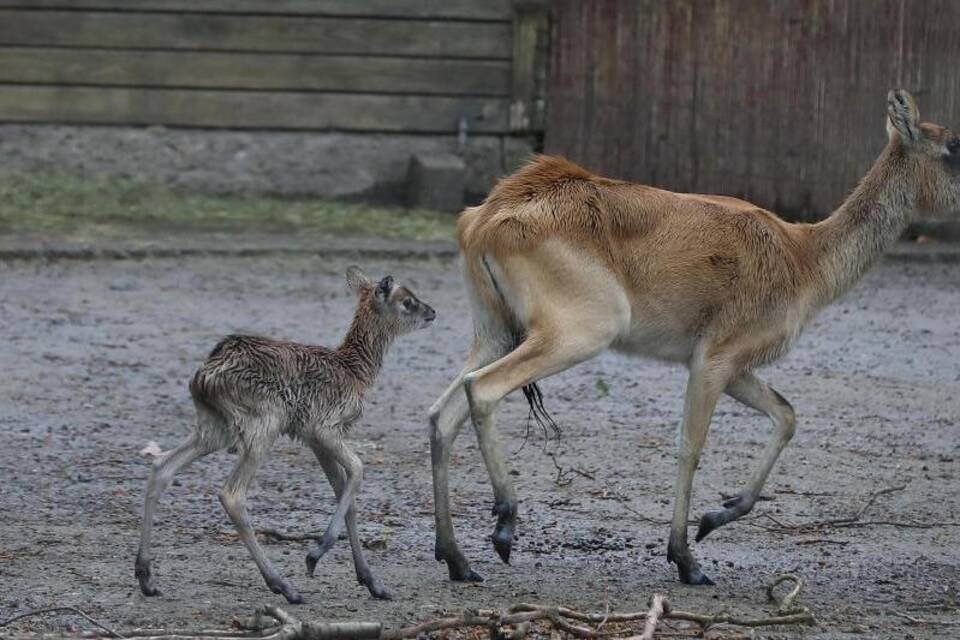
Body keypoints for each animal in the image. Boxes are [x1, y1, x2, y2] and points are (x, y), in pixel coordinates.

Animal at [135, 266, 436, 604]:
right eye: (408, 301)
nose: (432, 312)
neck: (355, 372)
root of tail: (202, 378)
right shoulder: (323, 427)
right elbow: (358, 470)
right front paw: (314, 554)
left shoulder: (313, 439)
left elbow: (345, 493)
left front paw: (373, 582)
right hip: (263, 423)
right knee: (232, 494)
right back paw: (284, 586)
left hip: (213, 428)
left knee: (161, 466)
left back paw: (146, 577)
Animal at [430, 90, 960, 584]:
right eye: (954, 145)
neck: (803, 257)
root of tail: (485, 218)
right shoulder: (714, 359)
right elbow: (691, 444)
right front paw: (687, 559)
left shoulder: (735, 368)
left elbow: (786, 416)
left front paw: (714, 517)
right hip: (575, 334)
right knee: (482, 390)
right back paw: (503, 524)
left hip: (494, 332)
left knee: (441, 413)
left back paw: (457, 559)